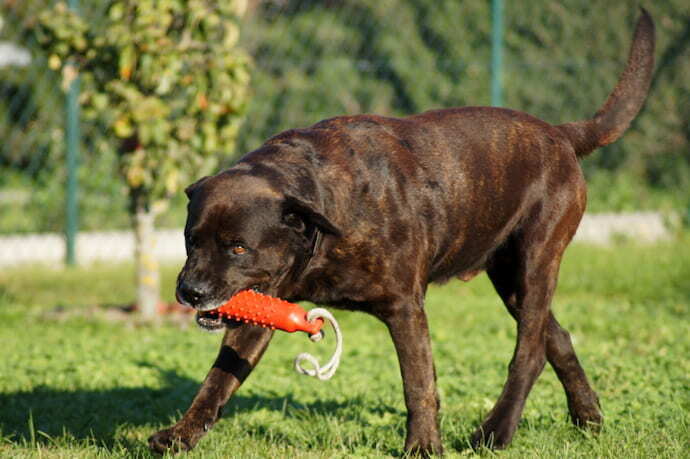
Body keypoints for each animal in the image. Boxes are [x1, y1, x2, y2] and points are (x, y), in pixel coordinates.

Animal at [148, 10, 652, 456]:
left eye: (238, 247)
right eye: (191, 240)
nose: (190, 291)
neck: (322, 217)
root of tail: (561, 133)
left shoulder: (405, 309)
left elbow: (419, 384)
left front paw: (424, 447)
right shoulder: (262, 309)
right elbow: (216, 382)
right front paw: (180, 436)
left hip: (534, 264)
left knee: (528, 354)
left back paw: (497, 431)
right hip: (509, 278)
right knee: (559, 339)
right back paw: (588, 419)